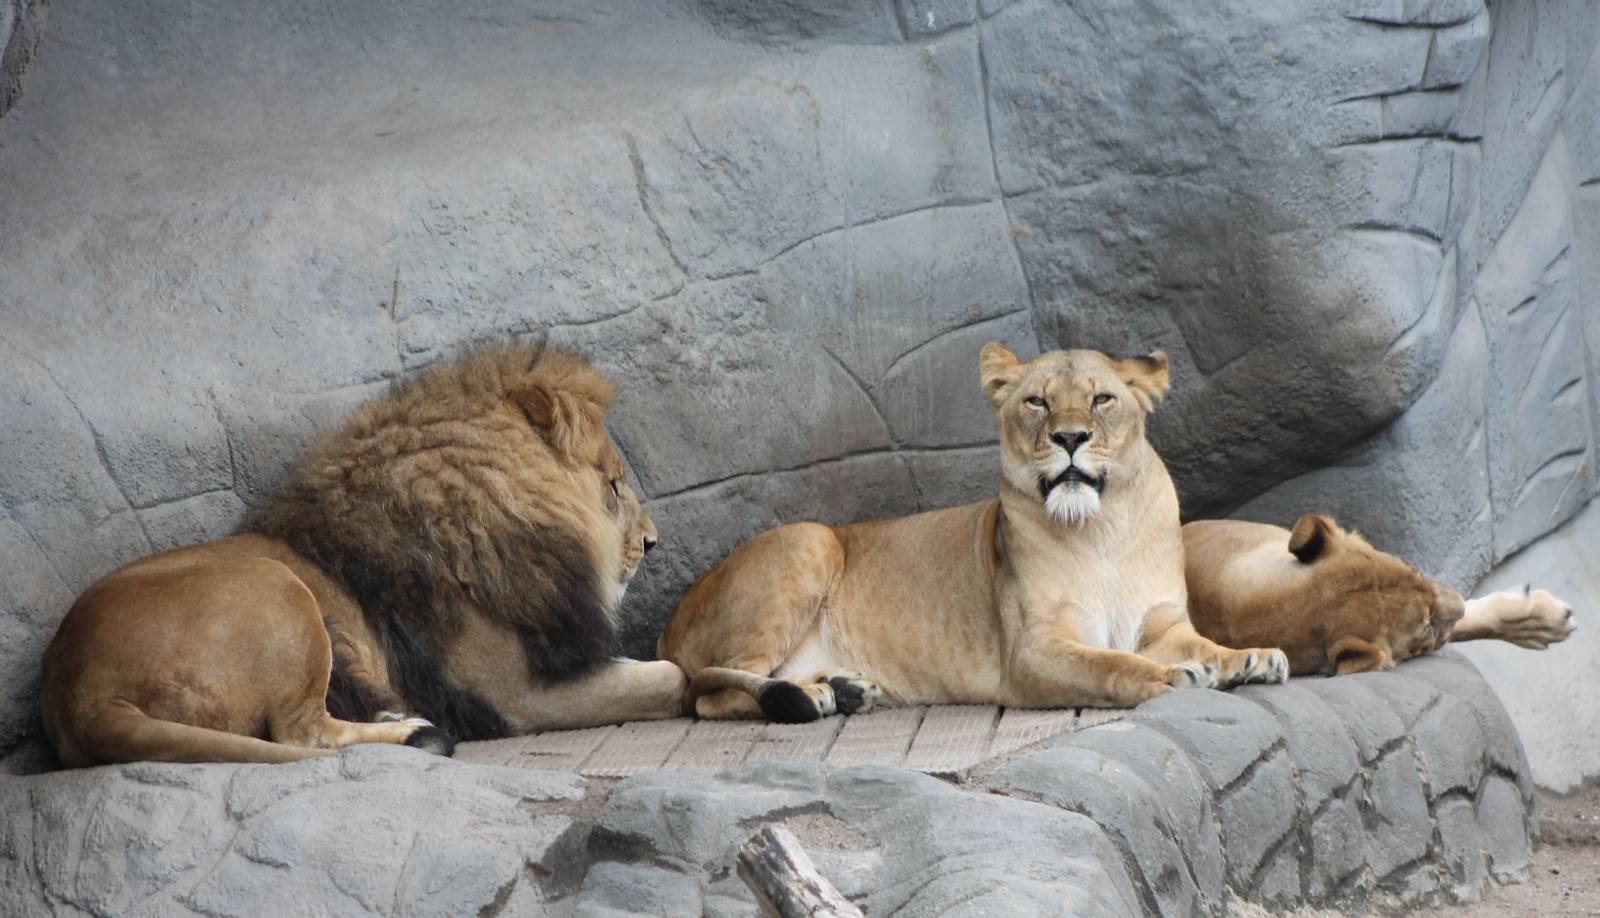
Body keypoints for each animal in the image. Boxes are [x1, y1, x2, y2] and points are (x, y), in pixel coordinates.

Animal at [40, 342, 687, 767]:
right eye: (613, 485)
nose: (652, 543)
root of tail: (79, 694)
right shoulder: (516, 691)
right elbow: (669, 677)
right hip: (279, 587)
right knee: (300, 735)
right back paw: (417, 732)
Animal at [658, 343, 1289, 722]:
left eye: (1101, 398)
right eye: (1037, 402)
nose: (1070, 438)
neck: (1101, 528)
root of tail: (666, 628)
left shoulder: (1162, 623)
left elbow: (1204, 643)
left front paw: (1250, 658)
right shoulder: (1030, 654)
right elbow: (1111, 664)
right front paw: (1175, 675)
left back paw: (844, 689)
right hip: (807, 540)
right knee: (713, 694)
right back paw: (815, 697)